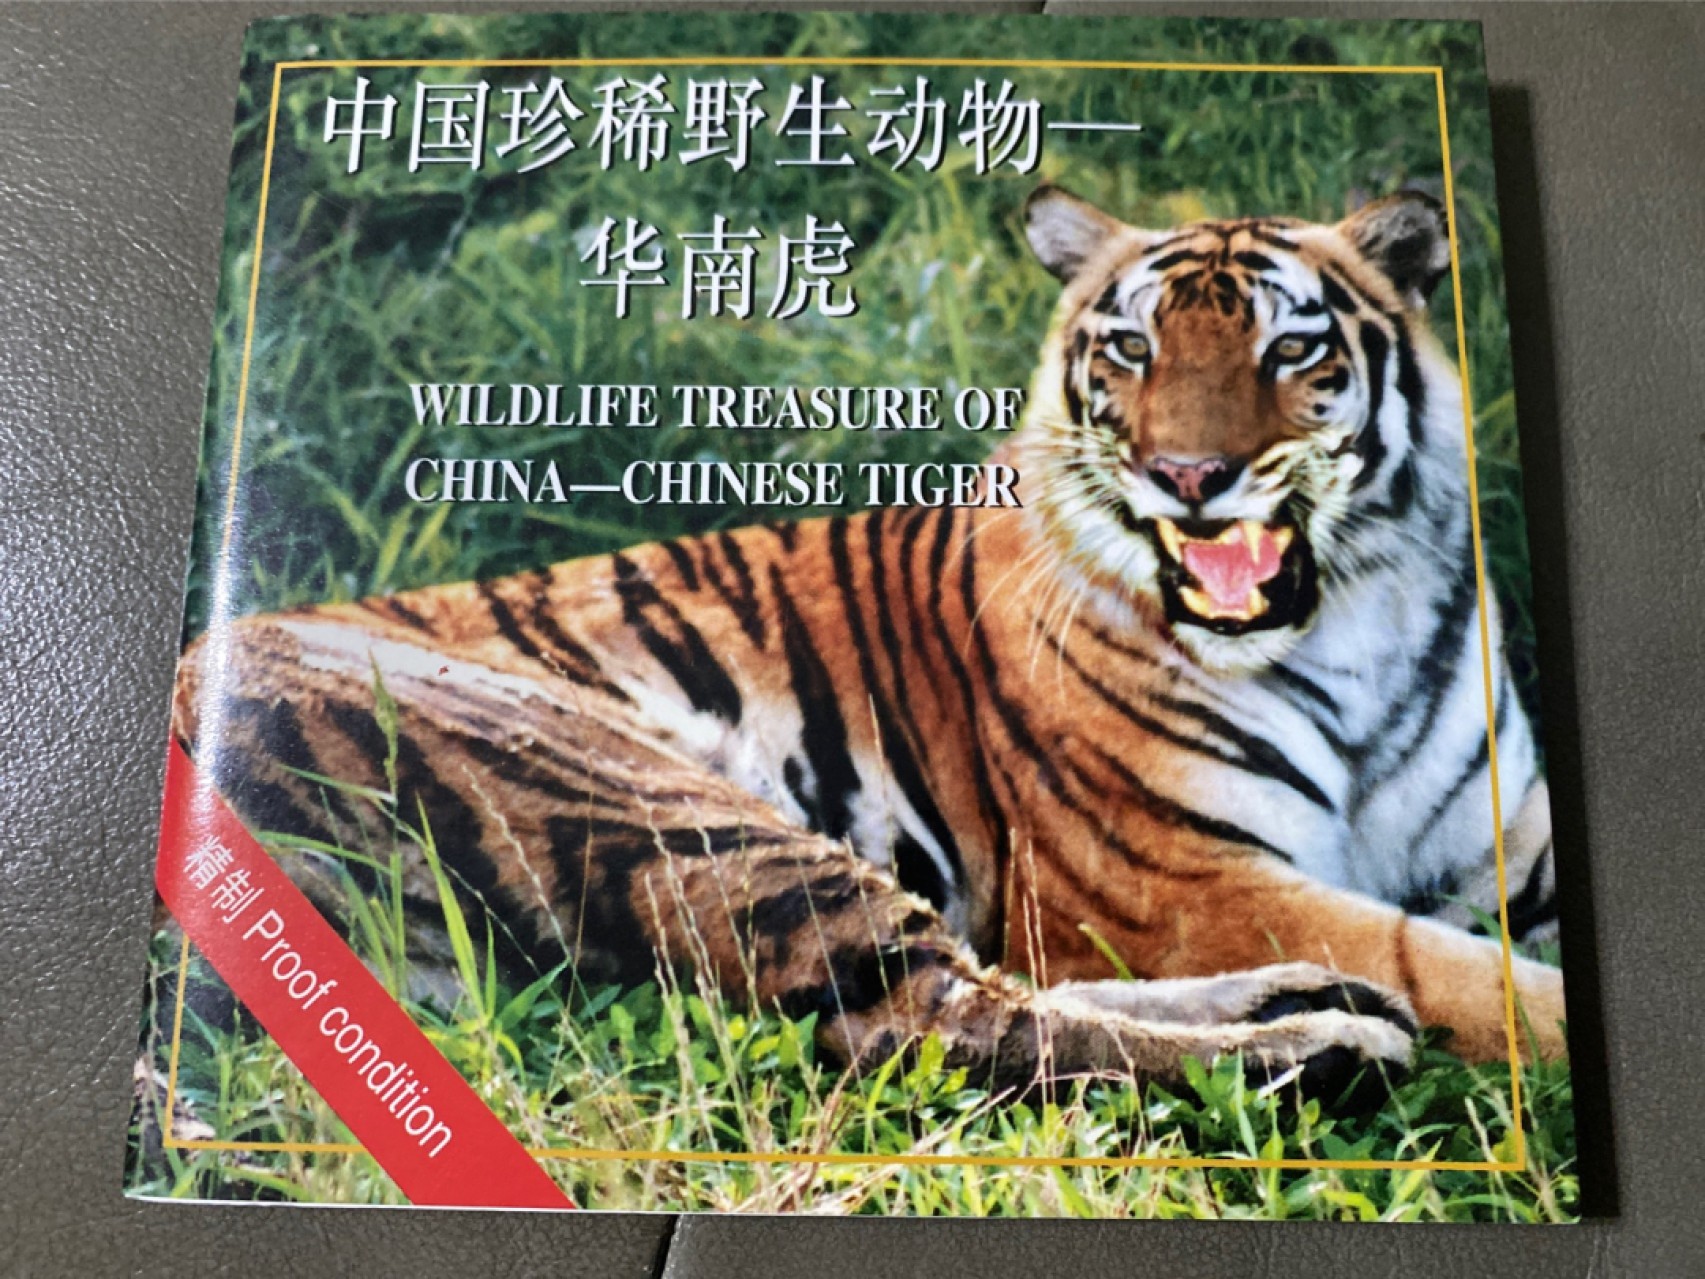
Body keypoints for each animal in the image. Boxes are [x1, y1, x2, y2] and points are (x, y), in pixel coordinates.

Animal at [170, 185, 1567, 1108]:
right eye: (1131, 348)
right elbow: (1465, 970)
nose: (1189, 477)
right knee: (926, 1017)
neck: (1353, 626)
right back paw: (1313, 1047)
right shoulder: (1182, 879)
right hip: (622, 773)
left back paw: (1300, 1006)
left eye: (1293, 348)